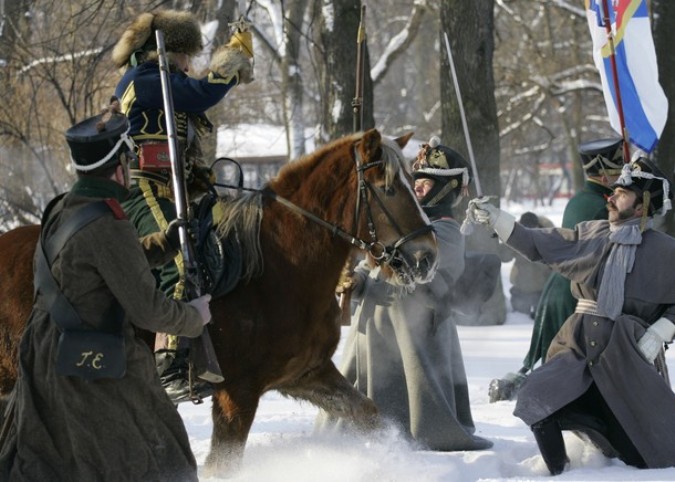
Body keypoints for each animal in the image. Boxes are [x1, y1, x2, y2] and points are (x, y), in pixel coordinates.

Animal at [0, 129, 438, 474]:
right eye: (388, 188)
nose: (427, 257)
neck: (277, 266)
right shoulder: (237, 394)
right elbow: (222, 465)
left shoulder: (307, 375)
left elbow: (369, 415)